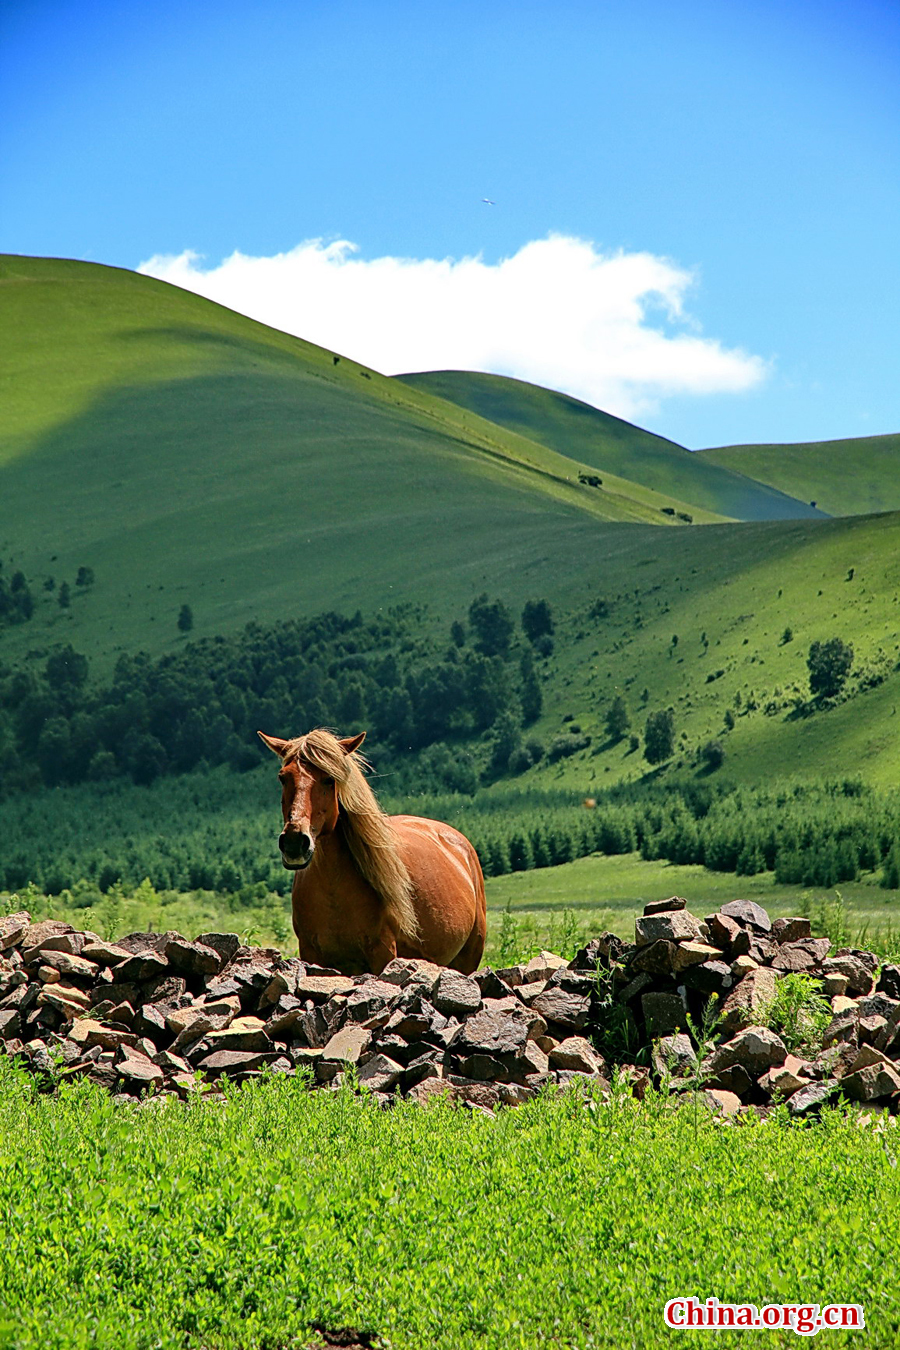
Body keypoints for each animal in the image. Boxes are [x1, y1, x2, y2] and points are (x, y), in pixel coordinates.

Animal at [256, 723, 488, 977]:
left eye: (329, 779)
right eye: (283, 778)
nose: (295, 842)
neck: (334, 893)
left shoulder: (383, 953)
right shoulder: (311, 953)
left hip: (468, 958)